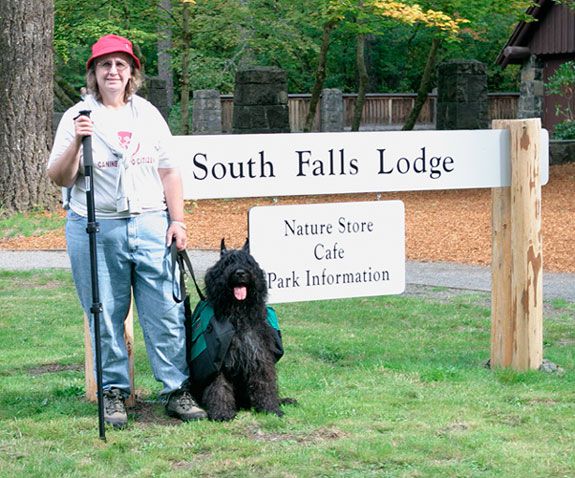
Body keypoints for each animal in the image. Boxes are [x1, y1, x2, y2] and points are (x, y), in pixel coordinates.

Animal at [192, 239, 286, 422]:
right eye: (228, 263)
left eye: (248, 262)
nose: (240, 273)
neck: (239, 314)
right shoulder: (220, 361)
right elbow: (219, 387)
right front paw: (221, 413)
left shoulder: (259, 355)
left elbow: (265, 382)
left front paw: (271, 408)